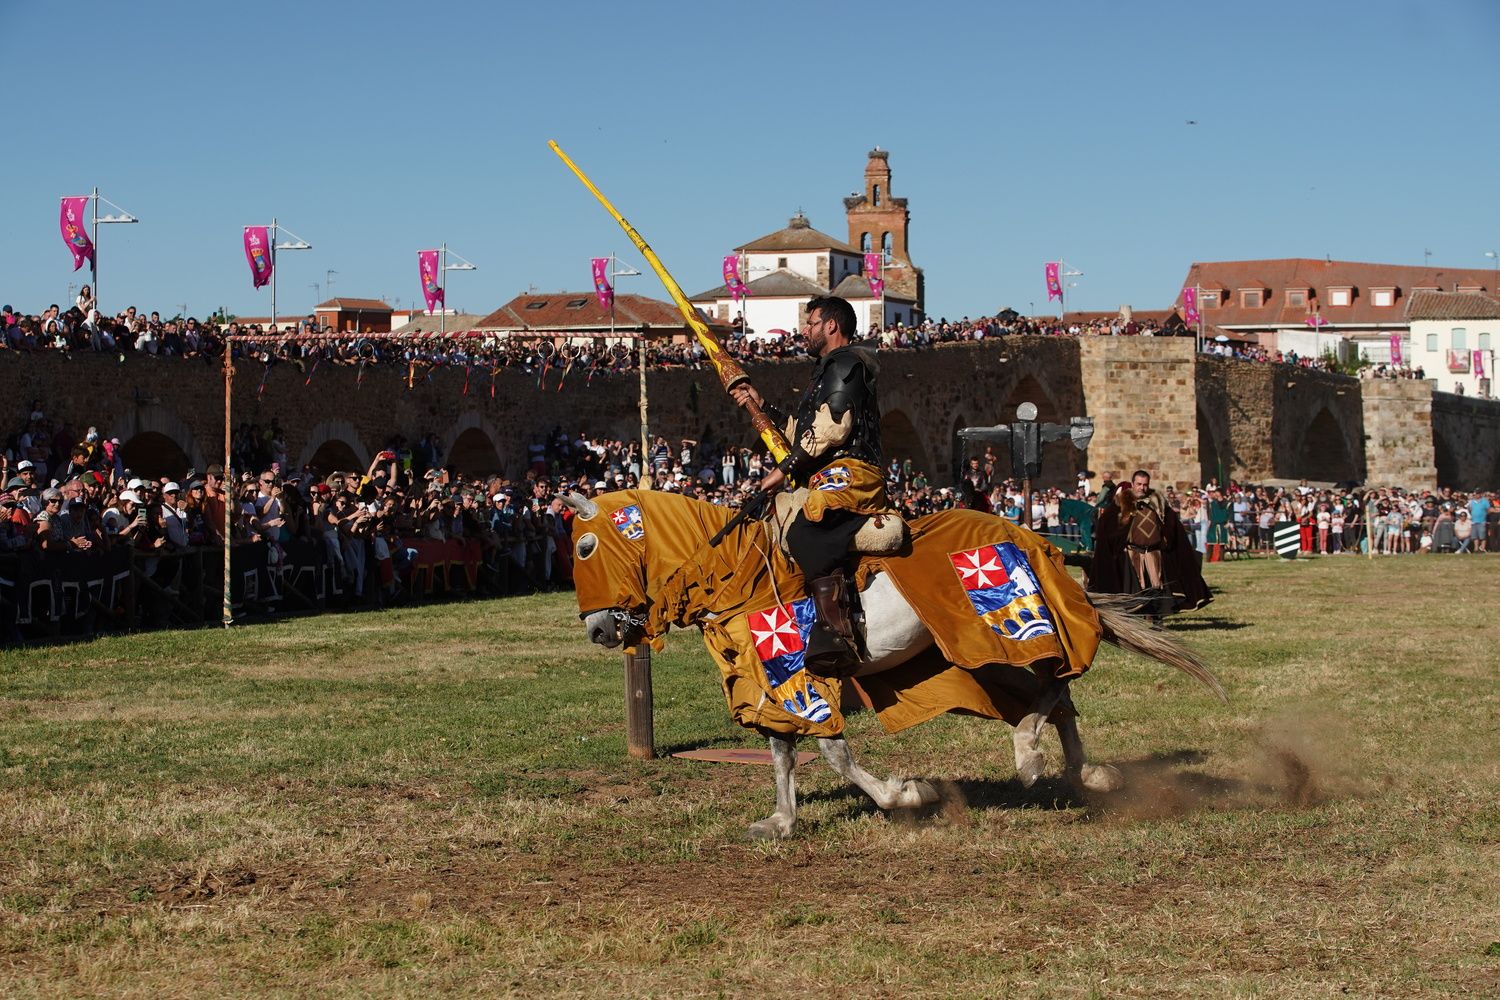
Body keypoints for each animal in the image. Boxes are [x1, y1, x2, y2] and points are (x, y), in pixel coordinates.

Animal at [561, 488, 1218, 839]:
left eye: (586, 545)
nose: (597, 630)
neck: (736, 574)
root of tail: (1037, 538)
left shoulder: (804, 675)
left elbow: (833, 753)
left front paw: (905, 794)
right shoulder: (769, 681)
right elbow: (782, 754)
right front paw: (782, 821)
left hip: (1005, 630)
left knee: (1060, 681)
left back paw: (1029, 754)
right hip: (975, 655)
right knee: (1060, 694)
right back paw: (1083, 772)